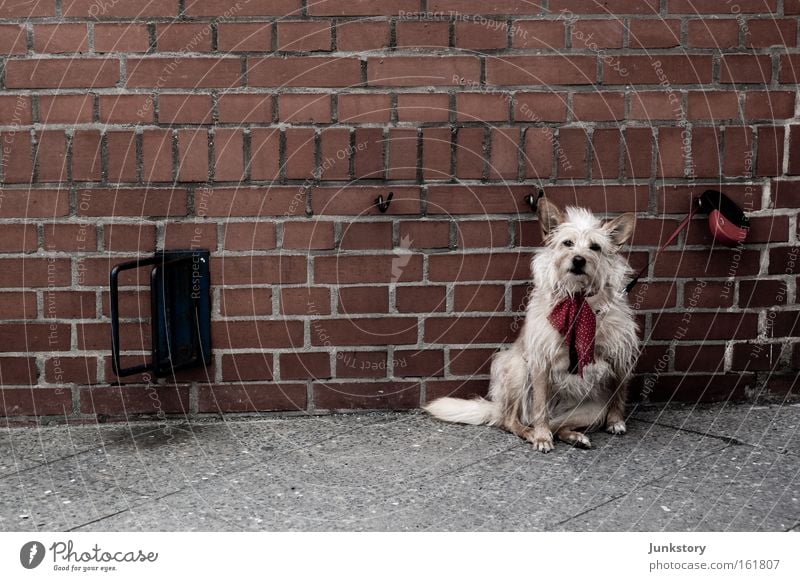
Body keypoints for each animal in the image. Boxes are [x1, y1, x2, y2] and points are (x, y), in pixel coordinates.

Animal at [424, 197, 636, 450]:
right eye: (567, 243)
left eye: (595, 247)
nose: (578, 259)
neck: (578, 299)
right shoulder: (541, 359)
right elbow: (540, 406)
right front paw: (542, 437)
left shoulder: (619, 353)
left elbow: (620, 392)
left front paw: (616, 421)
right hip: (518, 370)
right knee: (512, 420)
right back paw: (534, 432)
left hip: (592, 410)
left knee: (558, 425)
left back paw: (574, 436)